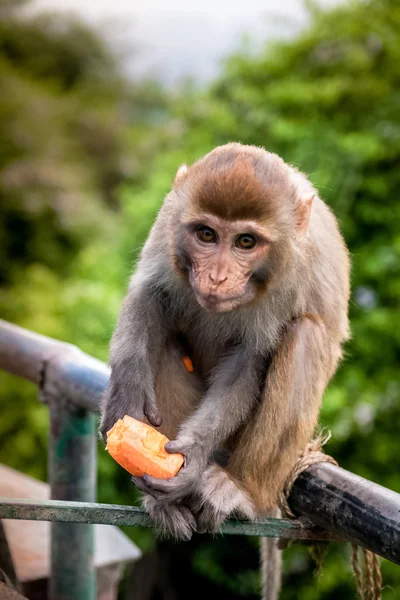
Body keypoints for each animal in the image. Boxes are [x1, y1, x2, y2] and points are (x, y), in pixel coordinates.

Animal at [101, 143, 350, 596]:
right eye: (206, 235)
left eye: (246, 242)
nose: (217, 276)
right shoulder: (169, 222)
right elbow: (151, 293)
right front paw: (126, 390)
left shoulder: (291, 274)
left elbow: (247, 362)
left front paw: (193, 454)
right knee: (165, 333)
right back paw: (164, 504)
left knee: (305, 334)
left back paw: (236, 489)